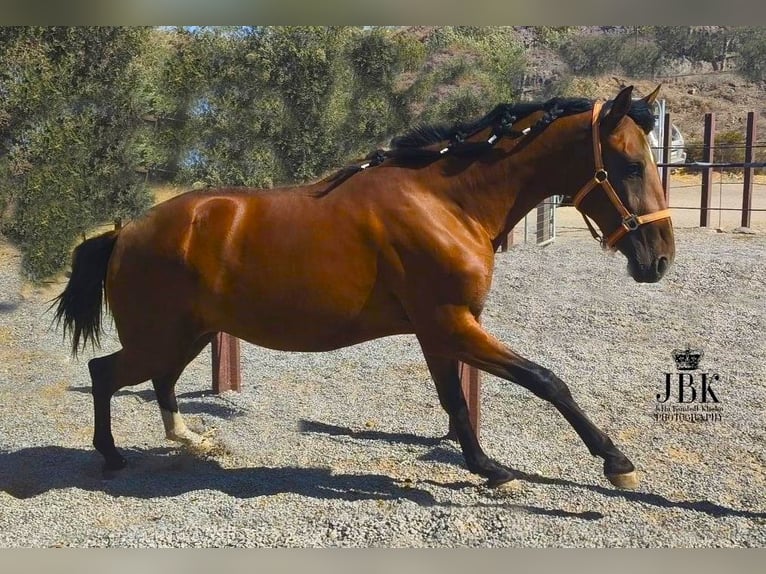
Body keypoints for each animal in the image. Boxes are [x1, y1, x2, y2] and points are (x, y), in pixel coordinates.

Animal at [55, 85, 680, 490]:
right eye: (628, 164)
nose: (660, 259)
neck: (446, 202)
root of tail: (126, 231)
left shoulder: (440, 329)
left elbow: (455, 400)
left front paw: (487, 469)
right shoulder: (451, 323)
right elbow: (547, 381)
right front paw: (616, 463)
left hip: (192, 334)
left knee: (158, 381)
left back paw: (191, 440)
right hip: (161, 336)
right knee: (104, 373)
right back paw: (111, 457)